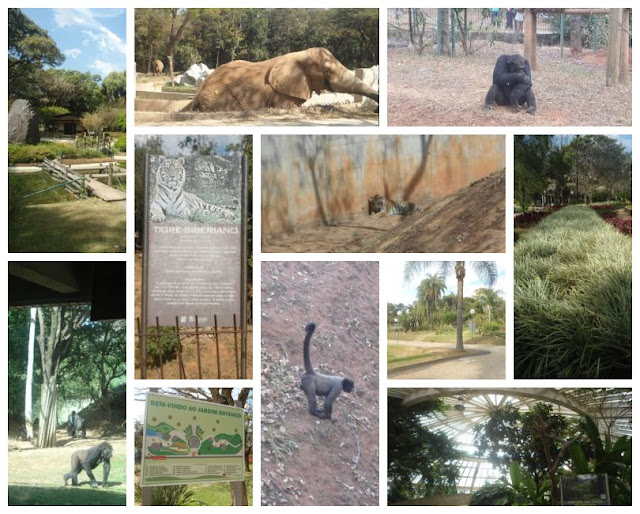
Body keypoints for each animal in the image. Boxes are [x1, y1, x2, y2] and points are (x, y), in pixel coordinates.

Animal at [182, 47, 378, 111]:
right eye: (326, 71)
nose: (377, 110)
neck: (301, 55)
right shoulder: (281, 92)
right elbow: (289, 107)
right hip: (218, 96)